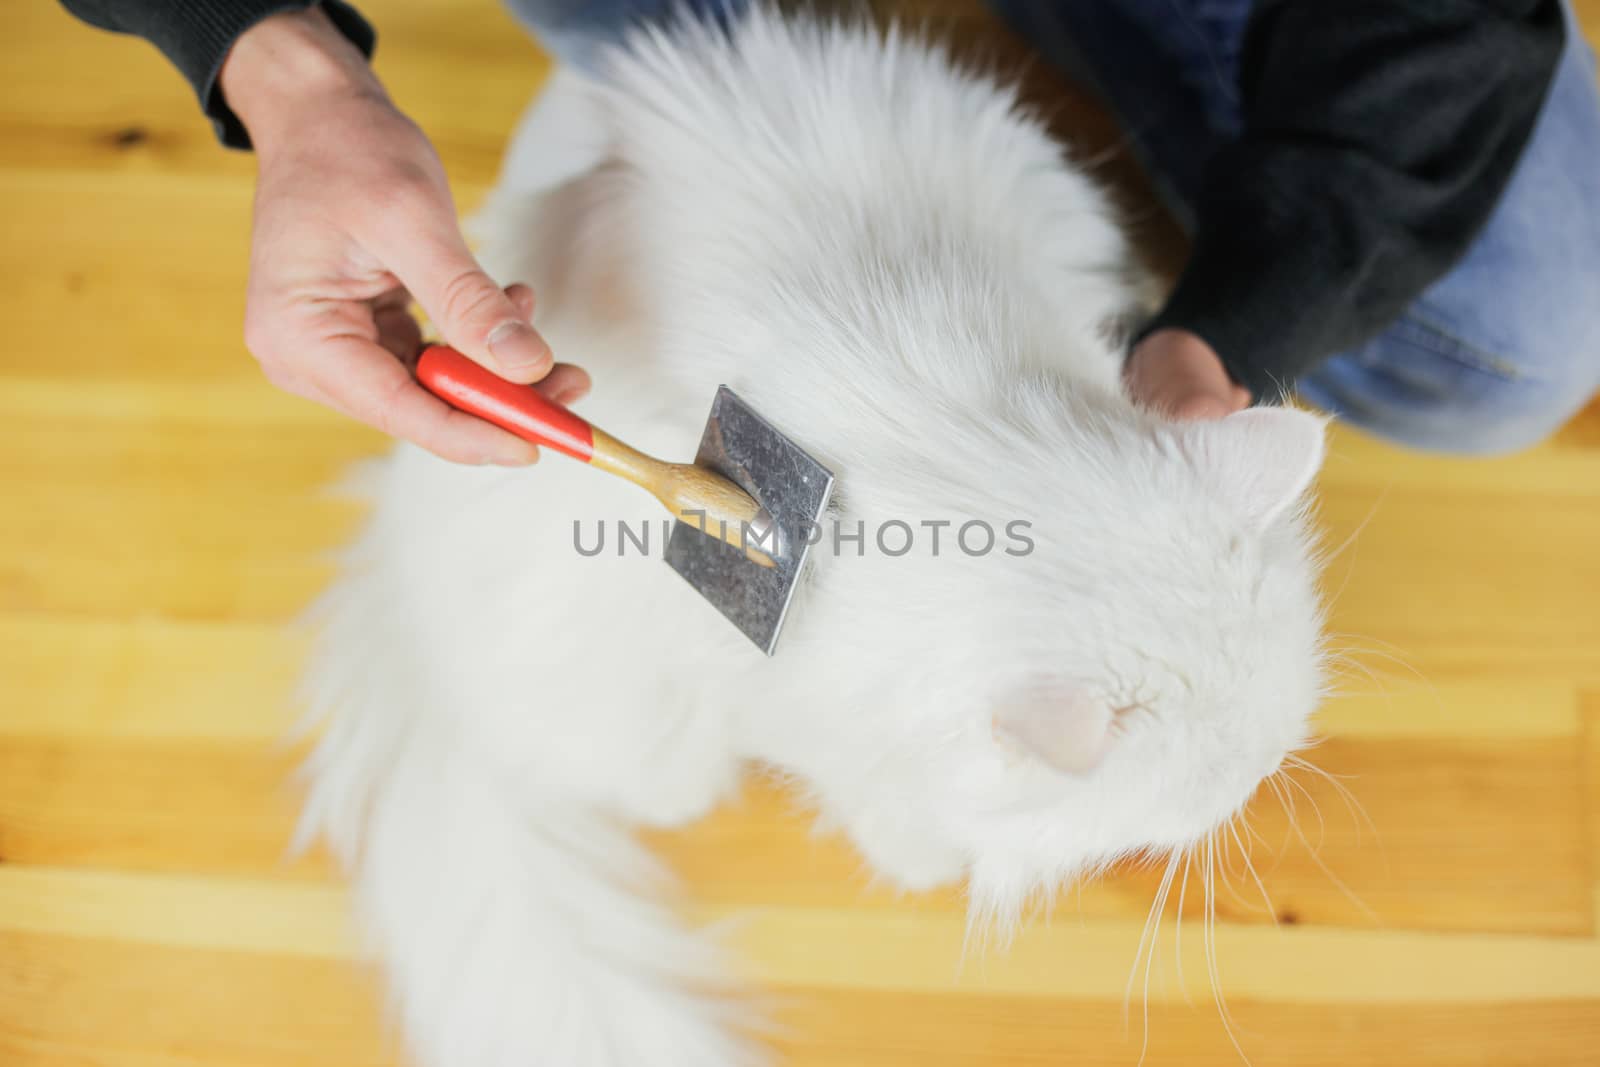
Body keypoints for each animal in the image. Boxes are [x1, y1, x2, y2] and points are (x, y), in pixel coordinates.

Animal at [300, 10, 1324, 1067]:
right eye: (1213, 782)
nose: (1259, 782)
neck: (954, 465)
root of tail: (396, 549)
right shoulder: (778, 696)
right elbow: (881, 793)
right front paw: (920, 859)